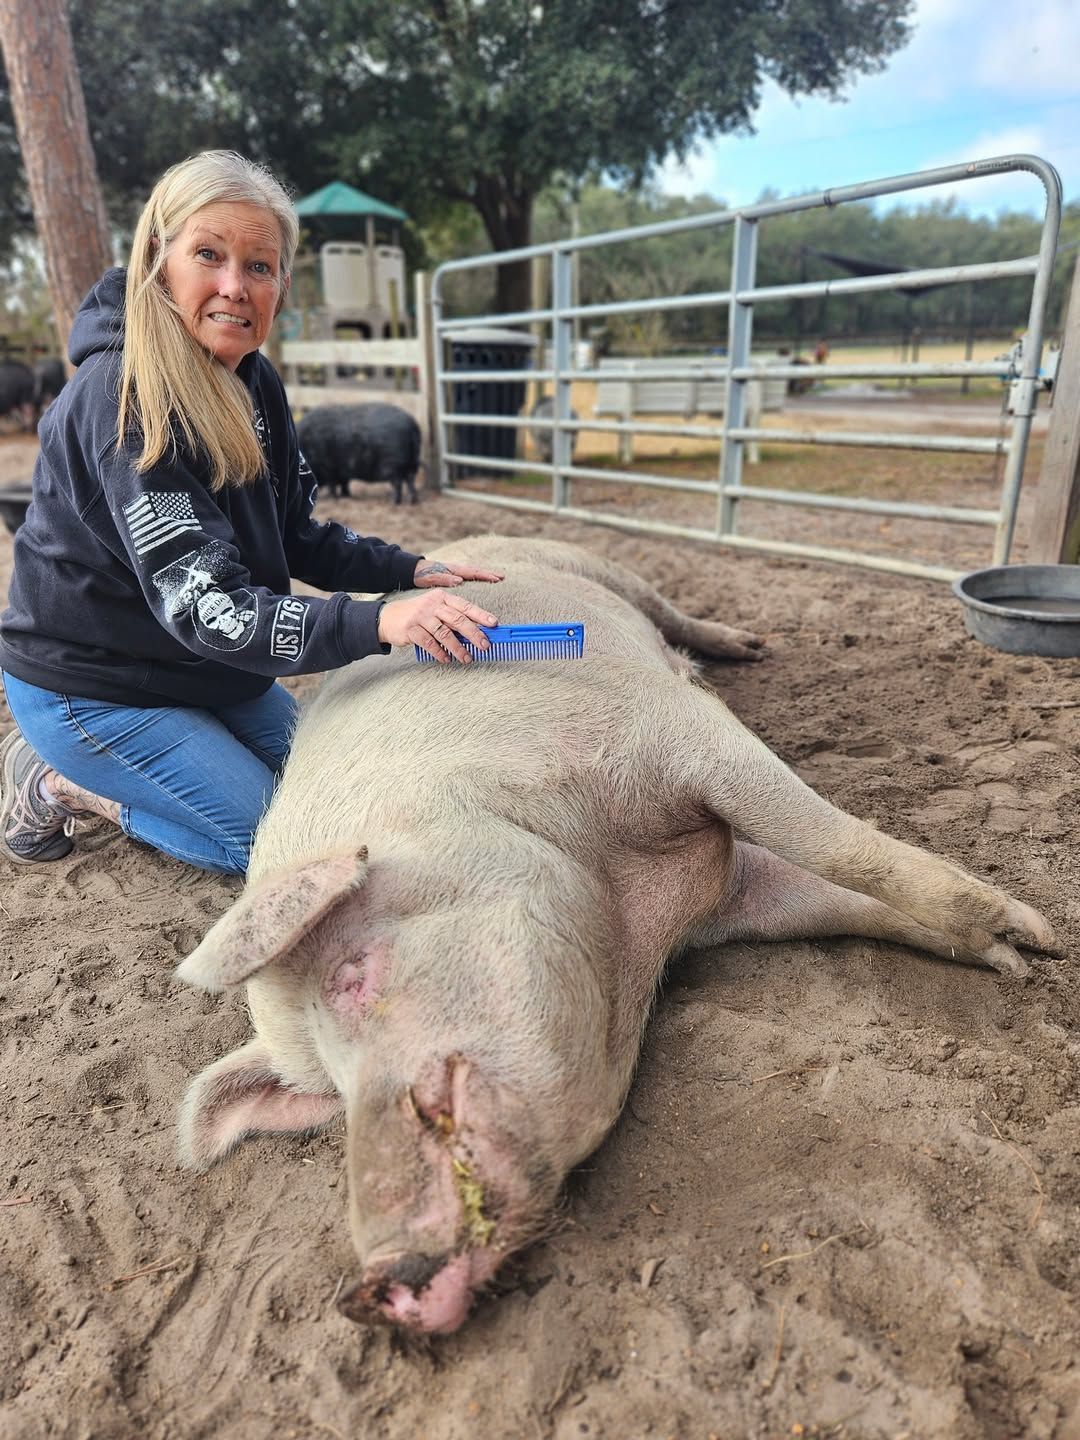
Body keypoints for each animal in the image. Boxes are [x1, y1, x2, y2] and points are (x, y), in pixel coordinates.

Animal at [176, 536, 1057, 1336]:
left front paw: (1037, 938)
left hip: (603, 571)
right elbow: (836, 896)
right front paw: (1013, 960)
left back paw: (743, 647)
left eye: (353, 975)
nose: (370, 1287)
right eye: (328, 1087)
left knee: (673, 611)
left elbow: (839, 846)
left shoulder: (674, 735)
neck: (631, 915)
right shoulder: (732, 891)